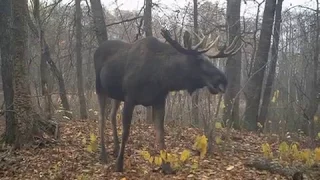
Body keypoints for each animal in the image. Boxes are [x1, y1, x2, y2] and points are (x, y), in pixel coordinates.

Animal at [94, 28, 241, 173]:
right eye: (199, 59)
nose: (223, 79)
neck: (162, 78)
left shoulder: (159, 100)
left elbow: (161, 134)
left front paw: (166, 167)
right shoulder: (130, 97)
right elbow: (126, 132)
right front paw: (119, 165)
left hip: (116, 95)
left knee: (112, 116)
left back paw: (115, 149)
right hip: (100, 88)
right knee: (101, 119)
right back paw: (104, 154)